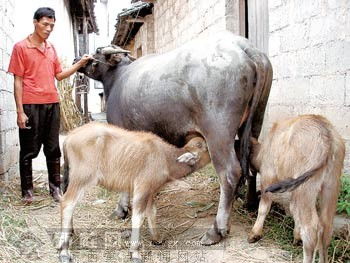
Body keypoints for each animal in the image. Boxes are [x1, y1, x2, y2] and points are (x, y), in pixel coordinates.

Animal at [58, 122, 209, 262]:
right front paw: (135, 252)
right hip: (82, 178)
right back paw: (64, 251)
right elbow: (138, 217)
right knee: (67, 203)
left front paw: (157, 239)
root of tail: (70, 136)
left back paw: (68, 235)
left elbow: (152, 212)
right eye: (205, 147)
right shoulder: (142, 188)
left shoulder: (151, 191)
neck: (165, 158)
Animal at [76, 31, 274, 248]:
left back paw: (216, 230)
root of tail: (244, 47)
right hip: (255, 121)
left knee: (230, 173)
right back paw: (250, 204)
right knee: (251, 162)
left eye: (97, 51)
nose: (78, 59)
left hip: (218, 133)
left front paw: (121, 209)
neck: (118, 78)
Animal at [249, 115, 344, 263]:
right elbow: (294, 210)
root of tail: (326, 133)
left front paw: (255, 233)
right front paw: (297, 236)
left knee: (311, 230)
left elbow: (263, 208)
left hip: (306, 189)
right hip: (331, 186)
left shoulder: (268, 176)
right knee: (326, 227)